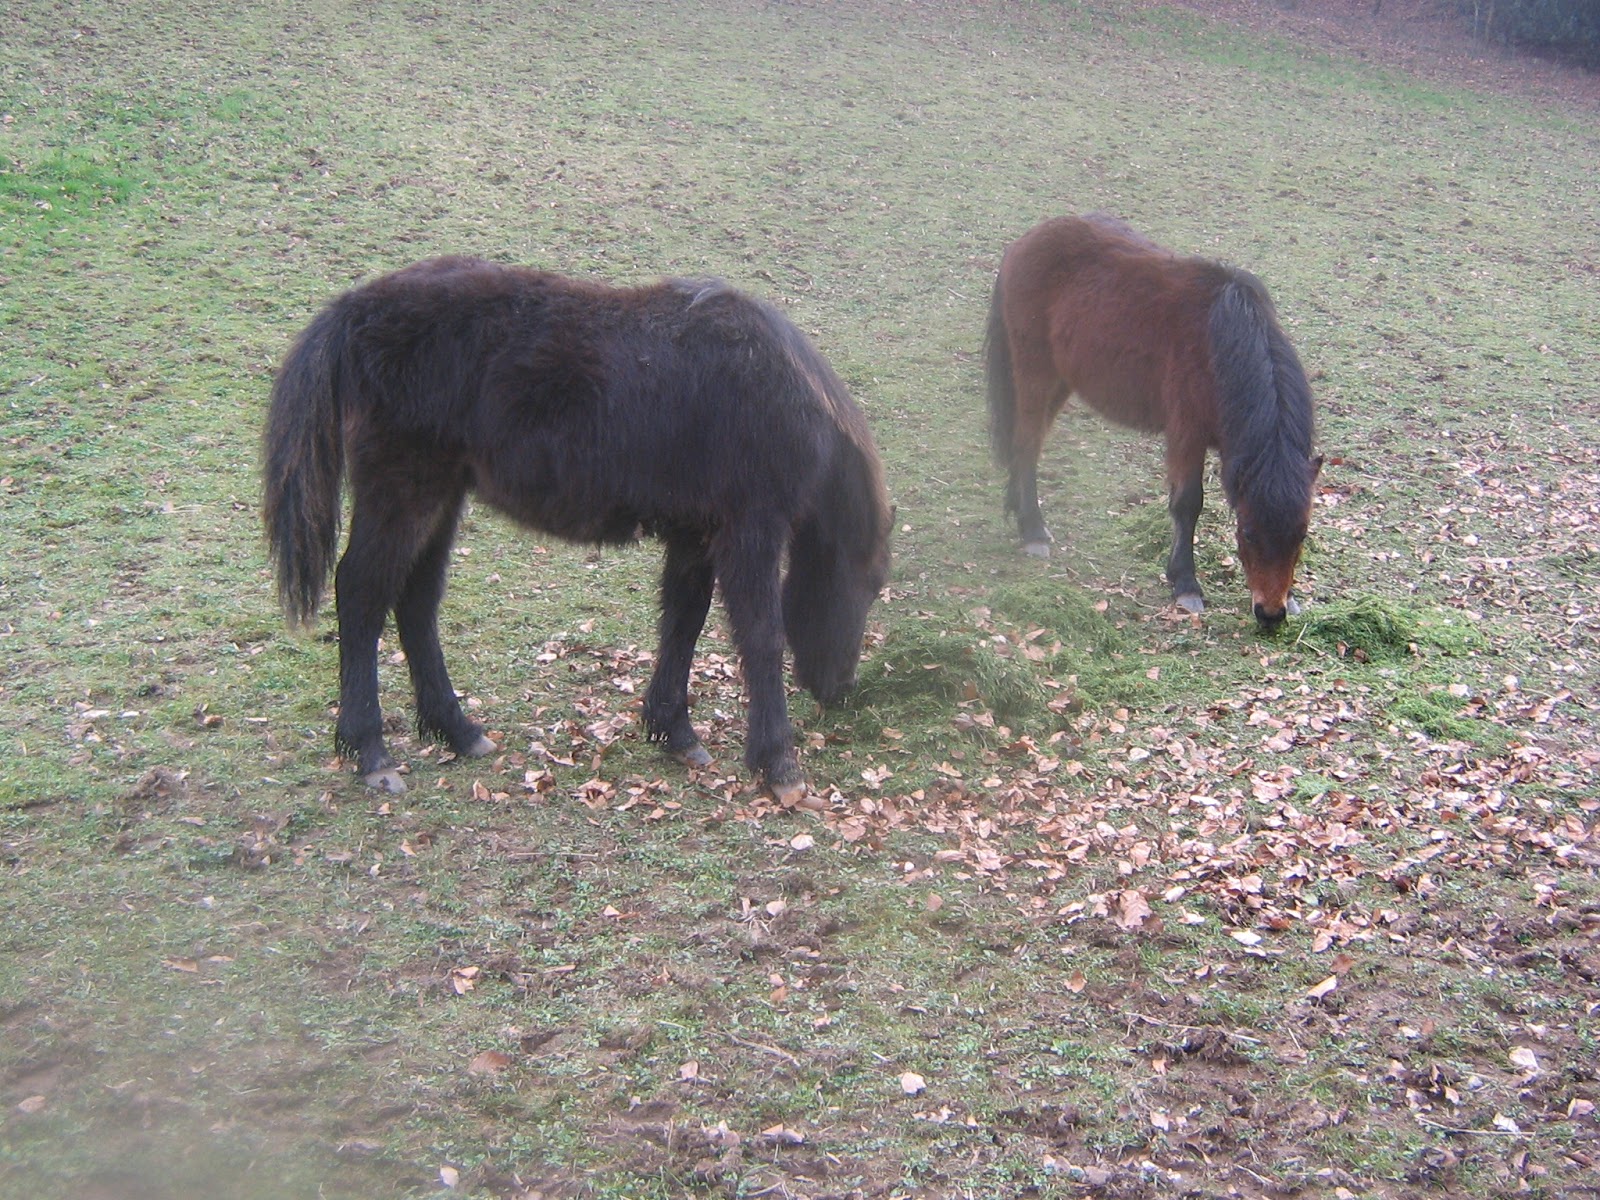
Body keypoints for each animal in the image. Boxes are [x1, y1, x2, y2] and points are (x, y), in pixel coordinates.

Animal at [263, 256, 893, 801]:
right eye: (871, 584)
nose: (840, 689)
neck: (777, 391)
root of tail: (355, 309)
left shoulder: (694, 532)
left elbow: (683, 621)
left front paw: (673, 731)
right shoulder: (750, 530)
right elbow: (760, 635)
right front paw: (778, 764)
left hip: (439, 499)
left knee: (415, 602)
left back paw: (458, 731)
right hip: (403, 493)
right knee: (361, 594)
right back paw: (370, 752)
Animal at [985, 214, 1320, 626]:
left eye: (1301, 534)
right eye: (1249, 532)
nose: (1271, 614)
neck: (1218, 344)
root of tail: (1026, 241)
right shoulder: (1186, 436)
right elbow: (1187, 504)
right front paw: (1185, 583)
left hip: (1061, 382)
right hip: (1035, 373)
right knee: (1026, 445)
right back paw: (1032, 529)